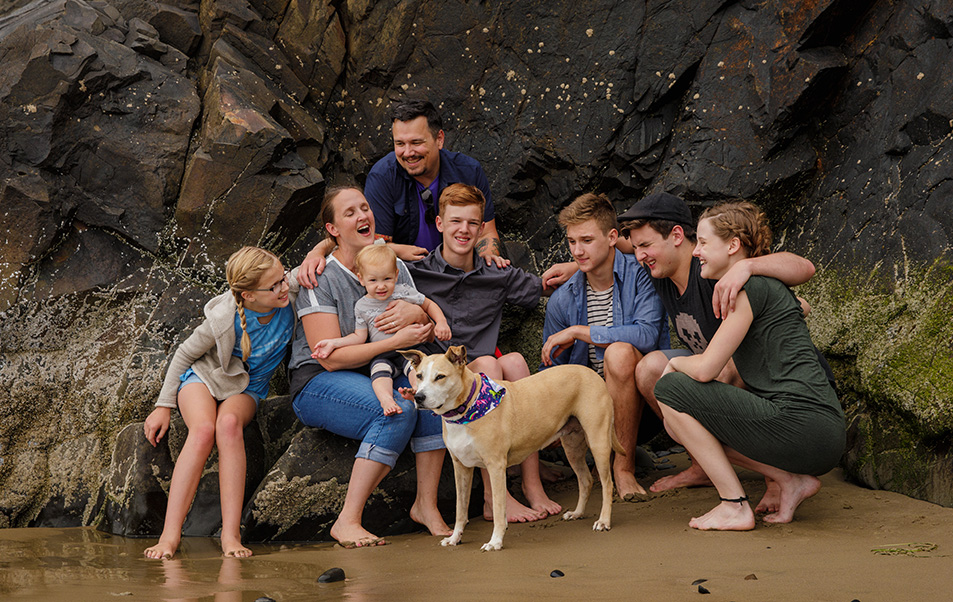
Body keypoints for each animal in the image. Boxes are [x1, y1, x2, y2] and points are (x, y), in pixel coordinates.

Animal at [398, 344, 620, 552]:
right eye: (419, 376)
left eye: (440, 377)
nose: (418, 397)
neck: (467, 408)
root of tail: (590, 372)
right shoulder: (461, 468)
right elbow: (461, 510)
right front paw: (454, 538)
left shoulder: (495, 467)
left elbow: (498, 509)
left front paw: (495, 541)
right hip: (572, 448)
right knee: (585, 480)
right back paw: (577, 513)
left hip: (598, 441)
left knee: (607, 484)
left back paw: (604, 521)